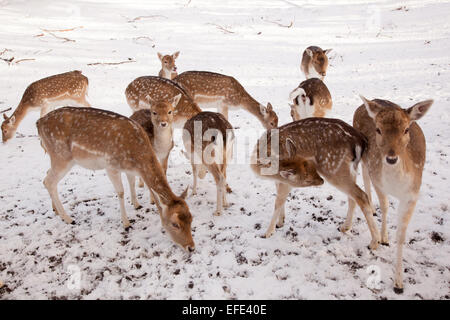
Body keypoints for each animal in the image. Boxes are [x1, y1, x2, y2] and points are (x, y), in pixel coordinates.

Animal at [37, 106, 195, 251]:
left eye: (191, 218)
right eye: (175, 224)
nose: (191, 247)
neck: (136, 156)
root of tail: (39, 123)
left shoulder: (129, 169)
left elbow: (132, 182)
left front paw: (136, 204)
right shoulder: (111, 166)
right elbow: (120, 192)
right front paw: (126, 223)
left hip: (57, 157)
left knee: (48, 176)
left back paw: (56, 210)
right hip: (61, 156)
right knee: (48, 181)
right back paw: (68, 218)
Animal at [251, 117, 382, 250]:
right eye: (308, 179)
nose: (321, 181)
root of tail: (360, 140)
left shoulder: (286, 182)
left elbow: (278, 202)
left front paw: (267, 233)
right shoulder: (279, 180)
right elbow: (280, 199)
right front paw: (280, 222)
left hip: (334, 169)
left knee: (361, 196)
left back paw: (375, 242)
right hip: (350, 169)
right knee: (353, 197)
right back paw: (345, 227)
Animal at [354, 96, 434, 294]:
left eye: (406, 129)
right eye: (378, 129)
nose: (391, 158)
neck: (396, 185)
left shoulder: (412, 194)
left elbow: (401, 235)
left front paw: (399, 283)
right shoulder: (379, 181)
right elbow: (384, 206)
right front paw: (382, 239)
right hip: (364, 158)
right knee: (365, 177)